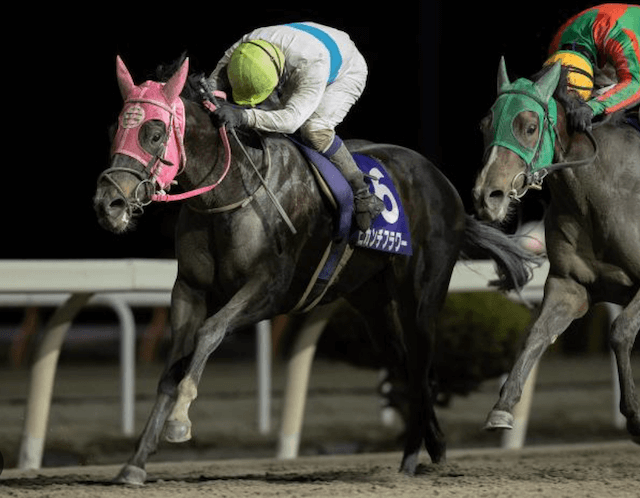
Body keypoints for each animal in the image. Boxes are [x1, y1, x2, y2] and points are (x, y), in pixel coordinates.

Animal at [94, 55, 535, 484]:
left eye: (153, 132)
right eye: (116, 127)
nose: (108, 203)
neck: (231, 192)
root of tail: (444, 184)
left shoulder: (270, 289)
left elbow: (210, 332)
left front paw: (180, 421)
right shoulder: (189, 289)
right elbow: (171, 369)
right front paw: (136, 462)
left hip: (422, 297)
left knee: (421, 366)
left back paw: (417, 455)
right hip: (371, 302)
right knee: (406, 368)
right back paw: (427, 447)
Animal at [473, 58, 640, 444]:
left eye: (530, 126)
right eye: (485, 125)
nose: (487, 196)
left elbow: (620, 331)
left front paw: (635, 416)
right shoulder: (570, 285)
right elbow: (536, 334)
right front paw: (503, 407)